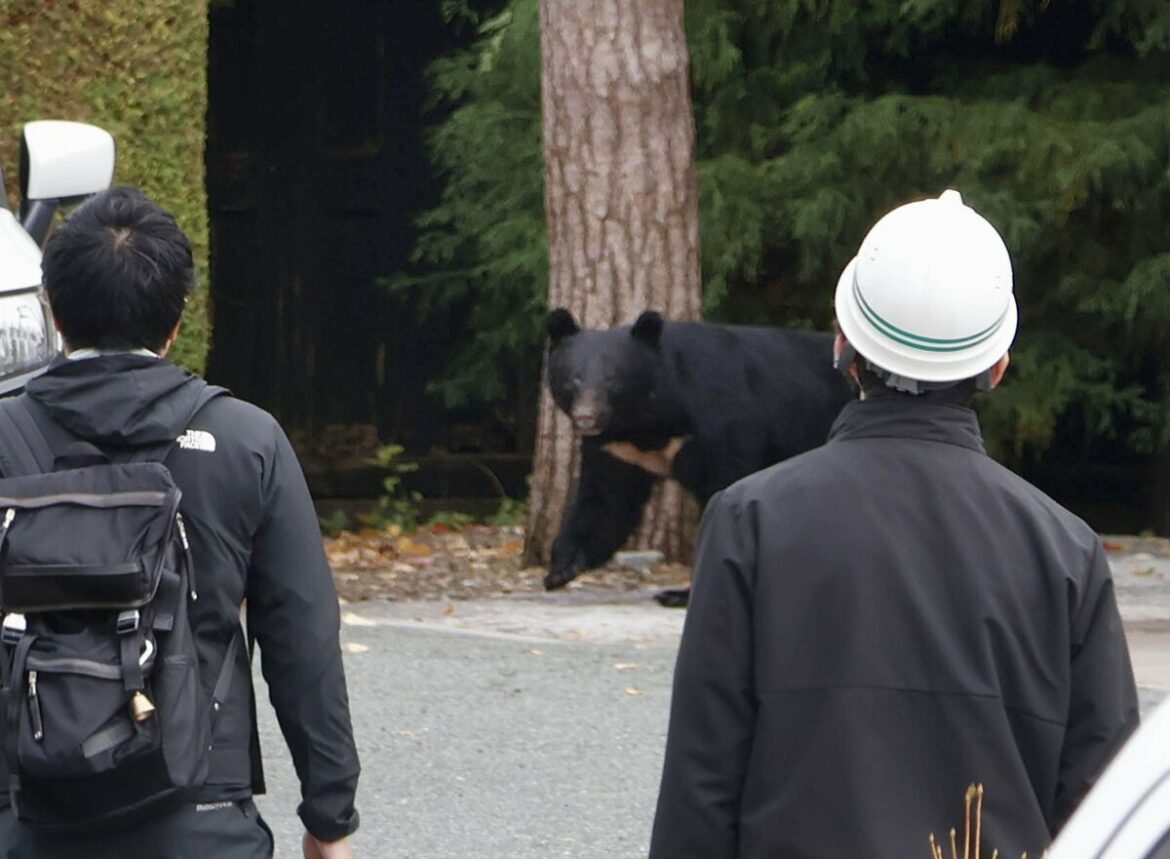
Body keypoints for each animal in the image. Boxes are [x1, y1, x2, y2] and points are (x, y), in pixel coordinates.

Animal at [543, 307, 854, 603]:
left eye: (613, 380)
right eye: (574, 379)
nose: (586, 417)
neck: (648, 422)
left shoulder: (719, 424)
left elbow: (725, 486)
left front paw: (683, 592)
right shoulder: (618, 450)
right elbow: (606, 500)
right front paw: (562, 569)